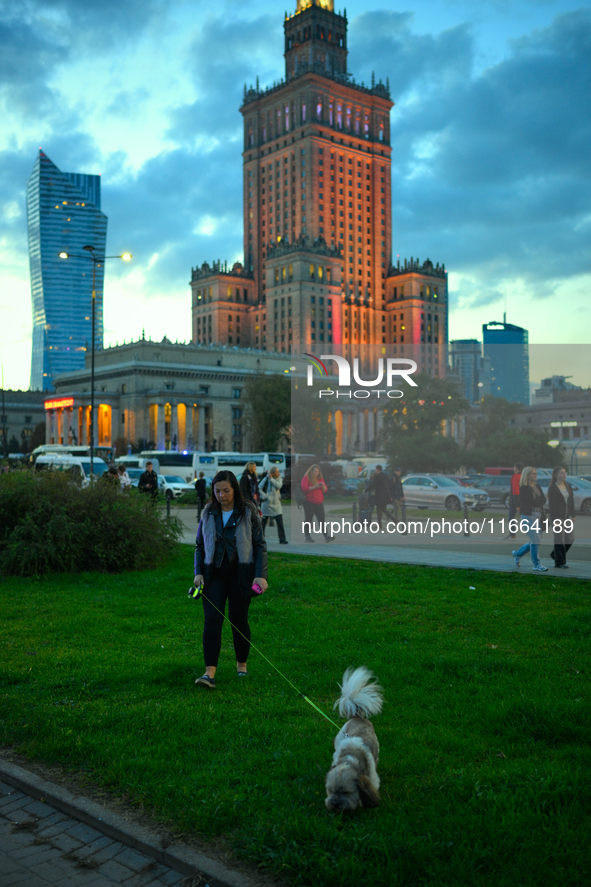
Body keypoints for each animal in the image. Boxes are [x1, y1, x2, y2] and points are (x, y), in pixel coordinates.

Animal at [324, 664, 384, 812]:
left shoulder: (372, 779)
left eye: (346, 792)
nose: (335, 803)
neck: (349, 759)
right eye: (331, 791)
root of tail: (358, 716)